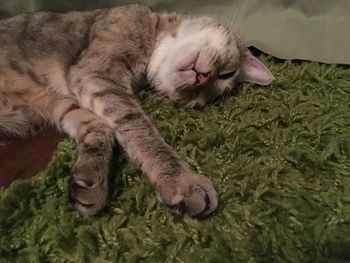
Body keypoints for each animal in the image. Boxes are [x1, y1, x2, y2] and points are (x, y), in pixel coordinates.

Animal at [0, 4, 274, 219]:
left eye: (197, 99)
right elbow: (142, 132)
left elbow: (101, 129)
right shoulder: (96, 75)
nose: (202, 81)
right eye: (227, 73)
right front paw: (182, 180)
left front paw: (90, 179)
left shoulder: (66, 100)